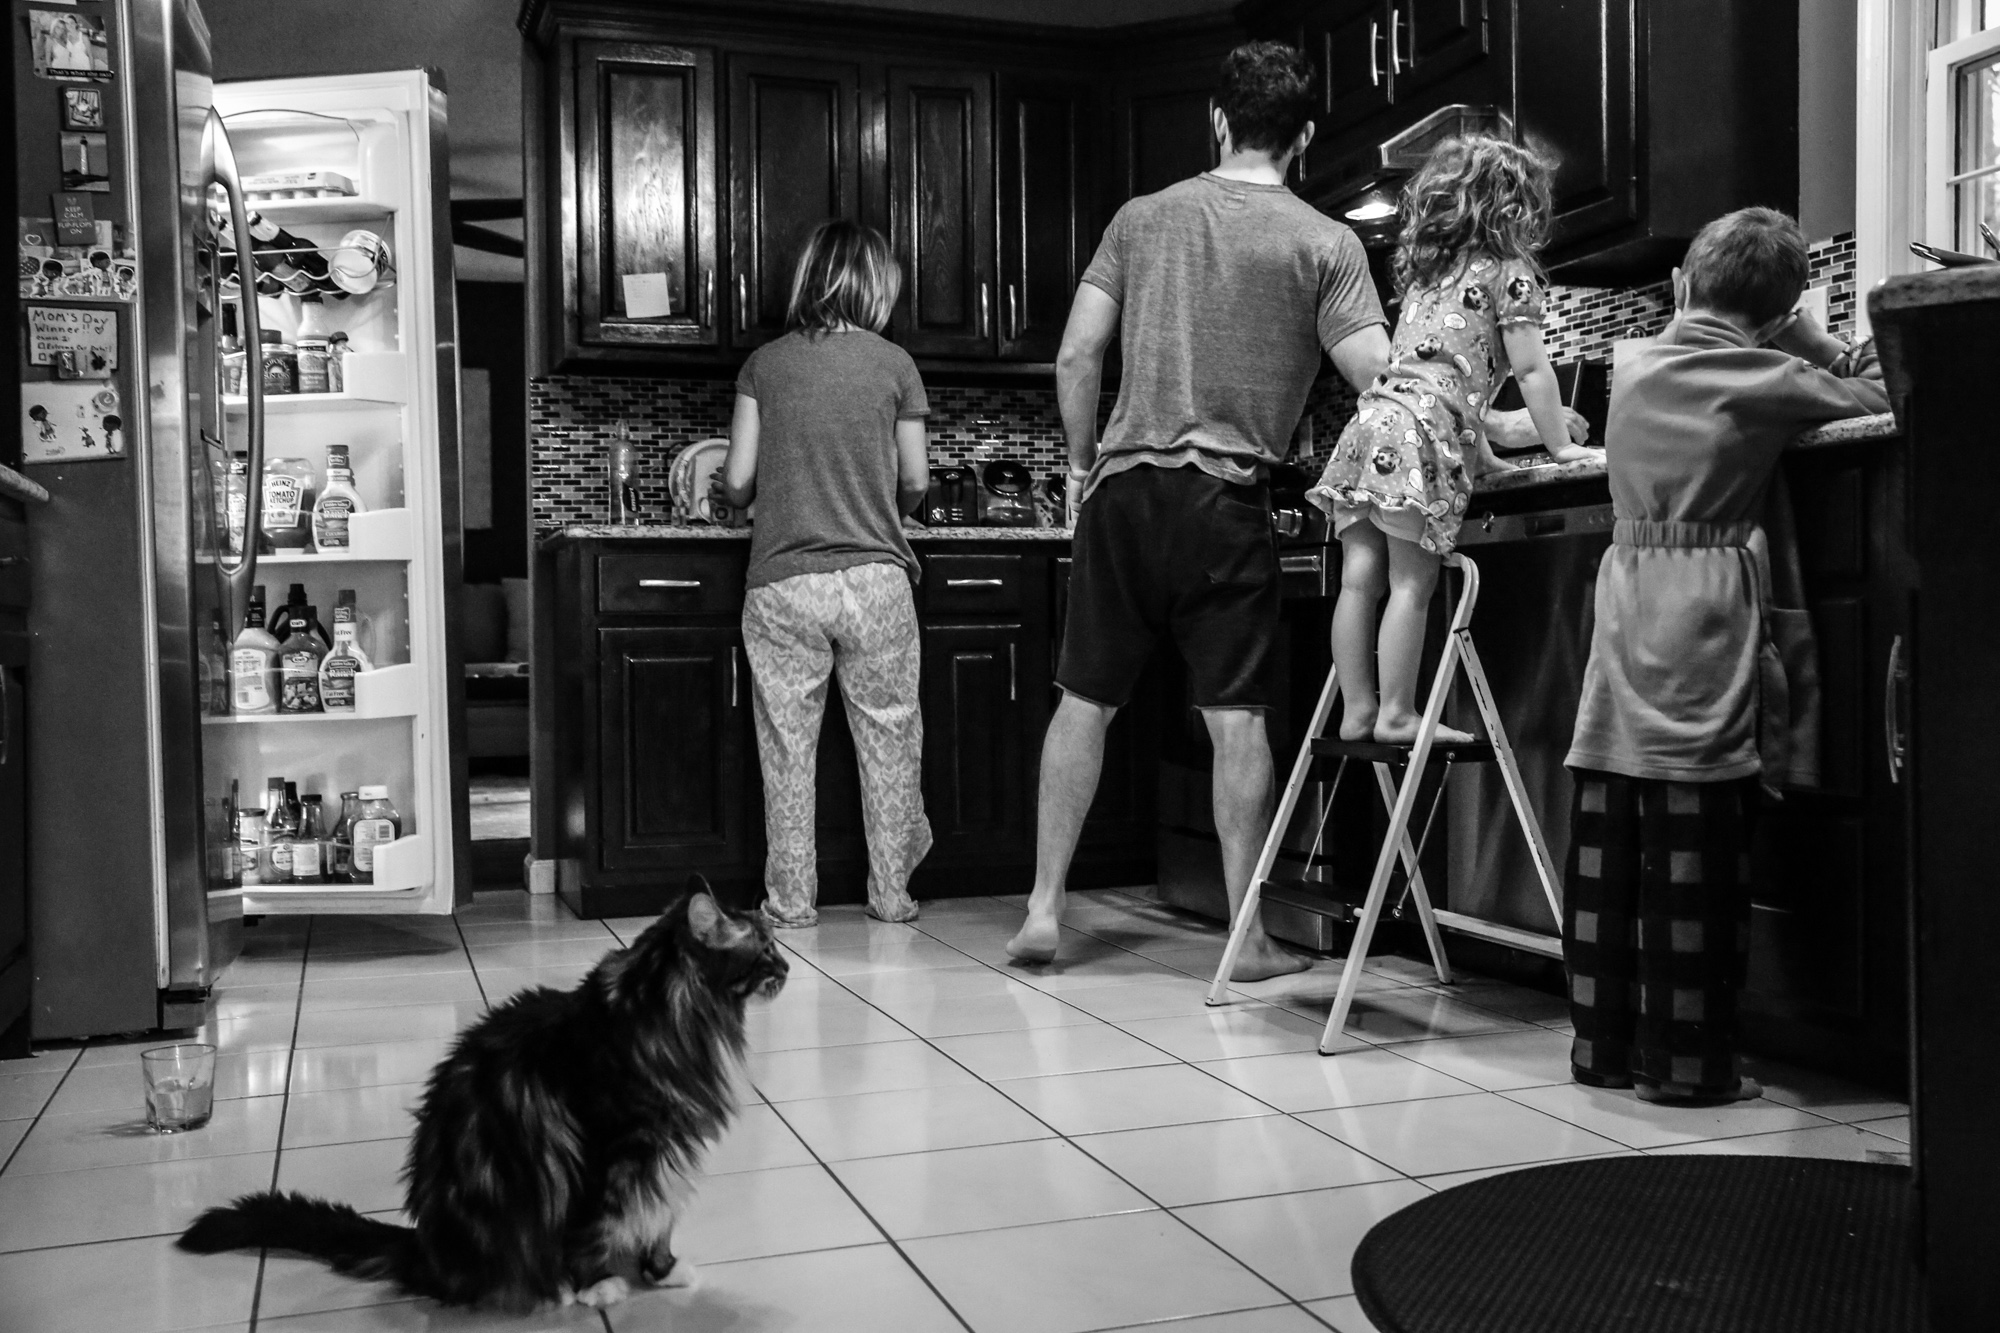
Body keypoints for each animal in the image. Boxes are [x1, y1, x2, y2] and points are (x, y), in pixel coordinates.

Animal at [176, 876, 788, 1304]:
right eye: (764, 950)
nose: (787, 967)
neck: (673, 1016)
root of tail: (422, 1245)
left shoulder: (664, 1154)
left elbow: (658, 1218)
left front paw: (662, 1272)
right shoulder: (615, 1149)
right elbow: (598, 1226)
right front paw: (596, 1286)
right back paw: (552, 1287)